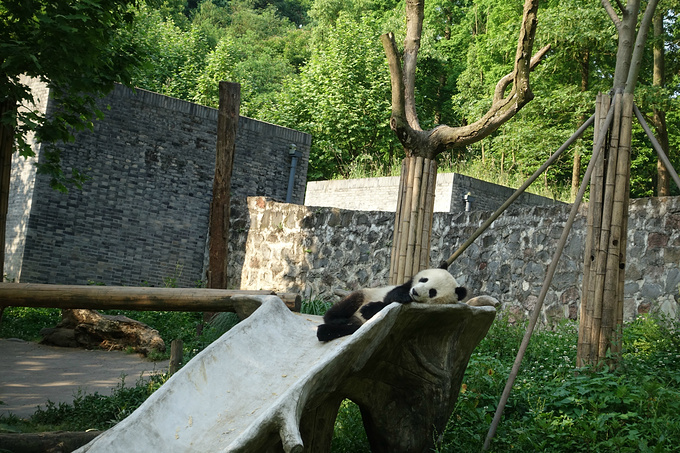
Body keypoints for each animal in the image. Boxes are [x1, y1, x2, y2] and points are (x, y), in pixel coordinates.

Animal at [318, 266, 468, 340]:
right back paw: (336, 319)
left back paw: (325, 331)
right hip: (365, 293)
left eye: (432, 292)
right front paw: (402, 296)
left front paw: (368, 310)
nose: (415, 292)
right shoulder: (405, 285)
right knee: (347, 304)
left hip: (359, 324)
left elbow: (384, 305)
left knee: (351, 328)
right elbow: (391, 296)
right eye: (424, 279)